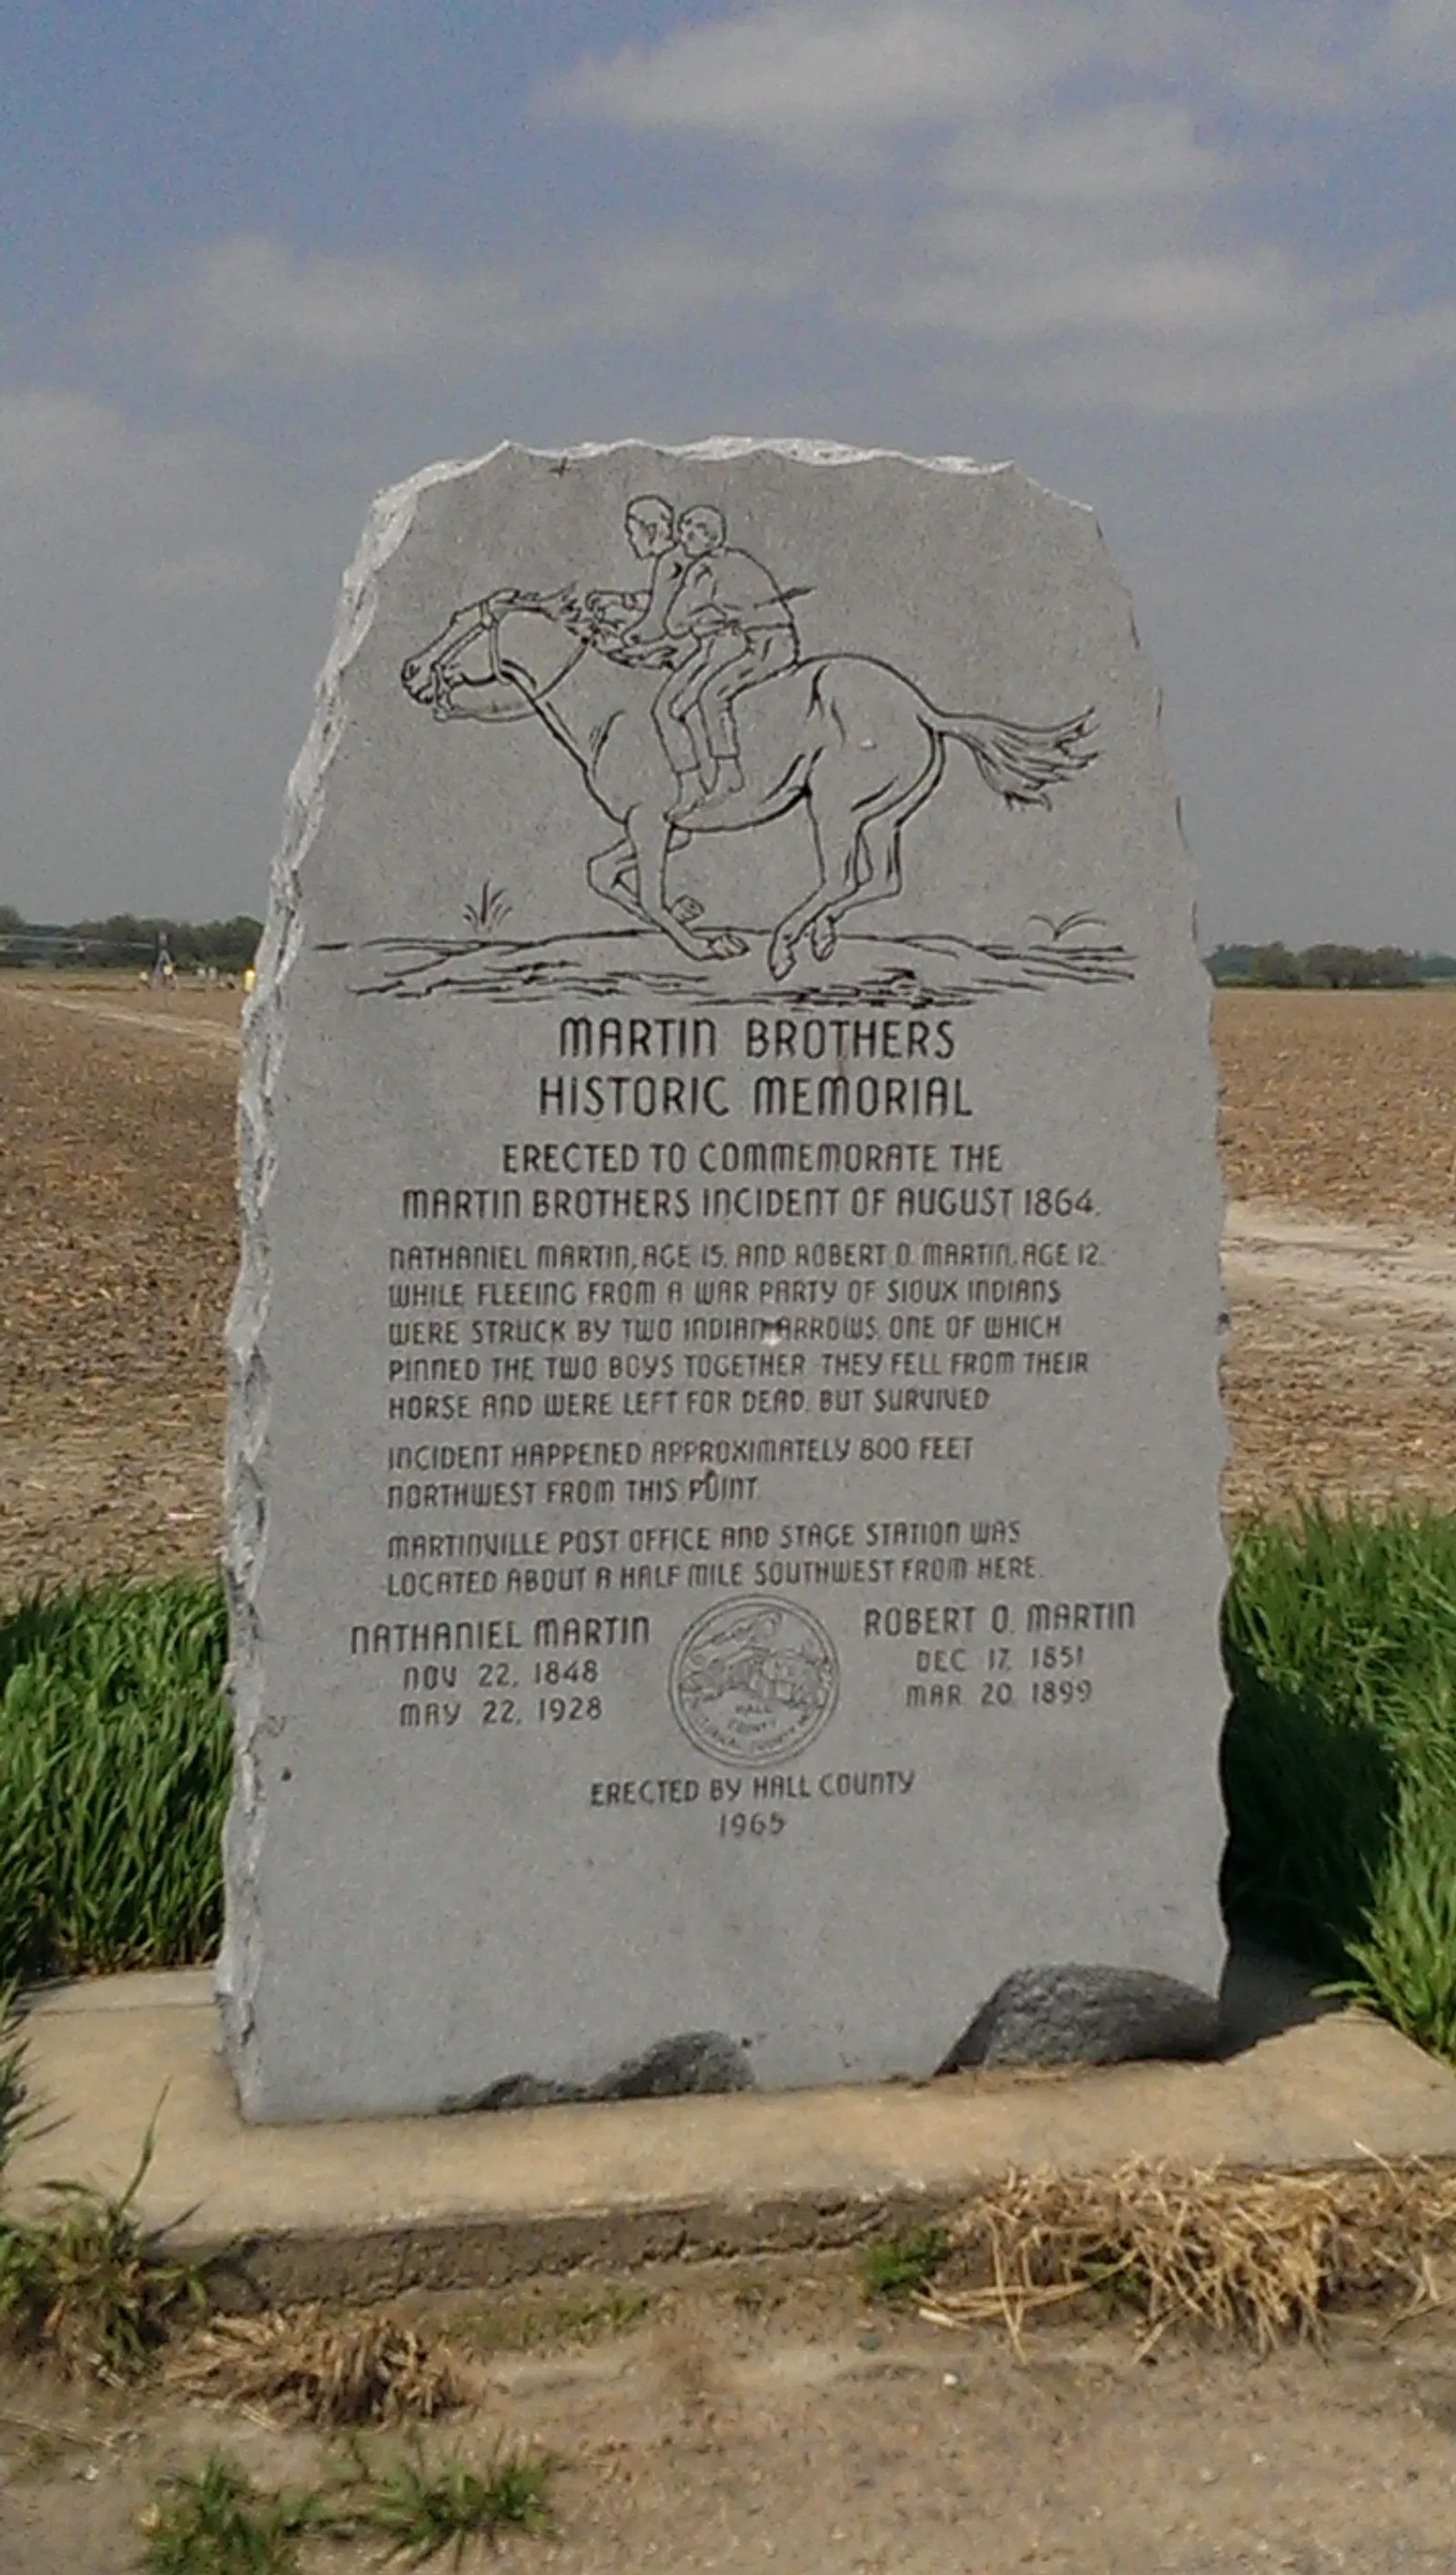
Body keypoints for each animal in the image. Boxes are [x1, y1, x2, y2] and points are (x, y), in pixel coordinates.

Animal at [399, 592, 1096, 983]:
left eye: (461, 626)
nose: (409, 672)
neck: (605, 707)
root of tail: (923, 708)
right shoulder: (661, 828)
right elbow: (606, 875)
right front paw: (695, 917)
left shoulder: (651, 823)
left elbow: (644, 891)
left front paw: (706, 944)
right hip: (882, 815)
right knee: (881, 879)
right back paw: (819, 937)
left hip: (833, 807)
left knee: (842, 877)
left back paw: (786, 947)